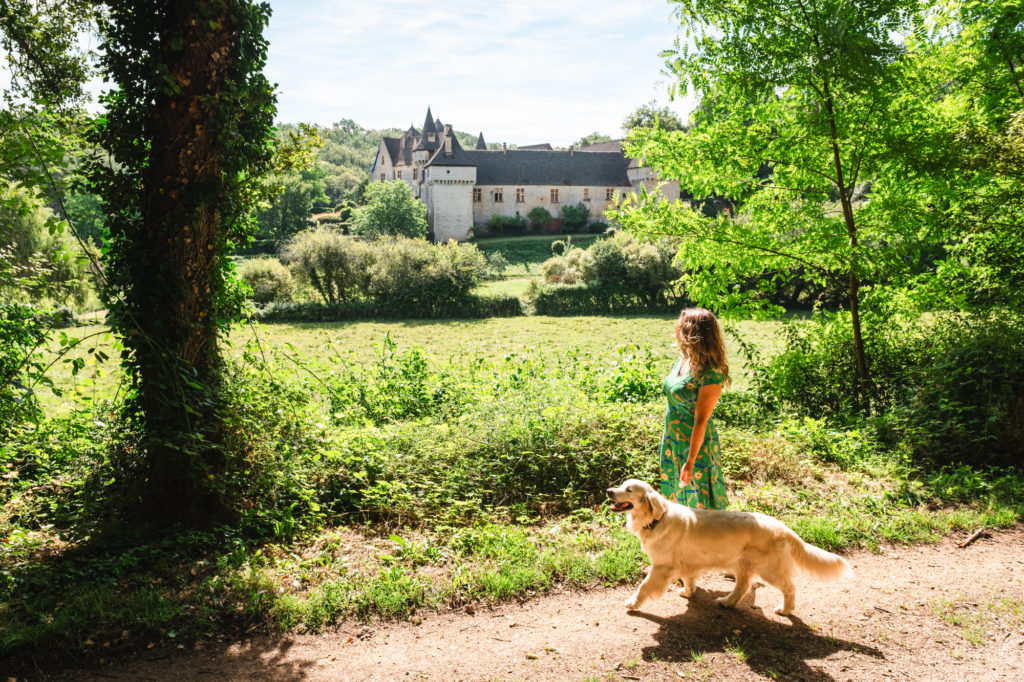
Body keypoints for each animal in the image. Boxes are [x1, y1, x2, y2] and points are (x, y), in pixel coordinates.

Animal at [602, 475, 851, 614]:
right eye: (622, 485)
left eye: (629, 489)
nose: (608, 490)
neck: (657, 519)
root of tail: (783, 527)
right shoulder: (686, 563)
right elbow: (689, 578)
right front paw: (688, 592)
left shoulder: (662, 567)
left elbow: (644, 587)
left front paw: (632, 603)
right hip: (743, 564)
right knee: (743, 586)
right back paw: (727, 602)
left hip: (768, 568)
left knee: (789, 588)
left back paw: (786, 610)